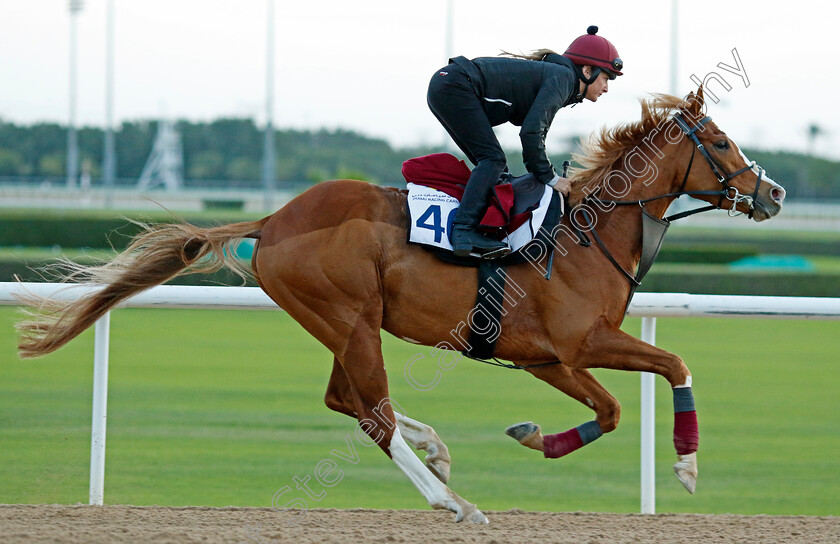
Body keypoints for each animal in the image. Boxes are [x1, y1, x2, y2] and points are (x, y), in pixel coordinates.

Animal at [16, 89, 784, 524]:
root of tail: (275, 221)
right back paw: (451, 500)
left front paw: (534, 436)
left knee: (347, 401)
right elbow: (670, 365)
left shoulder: (548, 359)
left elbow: (615, 406)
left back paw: (436, 450)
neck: (584, 235)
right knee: (373, 413)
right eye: (720, 142)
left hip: (341, 324)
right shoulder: (578, 344)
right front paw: (685, 467)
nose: (772, 193)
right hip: (352, 319)